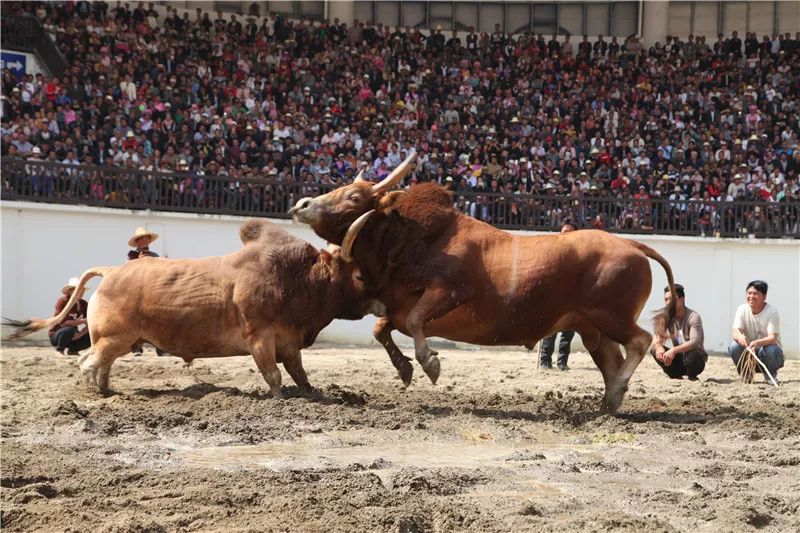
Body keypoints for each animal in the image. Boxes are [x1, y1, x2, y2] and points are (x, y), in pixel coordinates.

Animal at [3, 219, 382, 394]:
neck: (296, 278)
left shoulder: (289, 344)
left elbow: (301, 377)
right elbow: (273, 378)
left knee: (100, 364)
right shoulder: (260, 338)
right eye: (360, 274)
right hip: (113, 339)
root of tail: (111, 271)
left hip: (115, 342)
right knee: (87, 363)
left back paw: (108, 390)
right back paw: (98, 394)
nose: (383, 301)